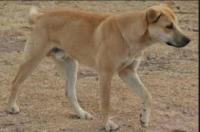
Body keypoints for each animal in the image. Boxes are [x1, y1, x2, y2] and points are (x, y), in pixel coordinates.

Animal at [7, 3, 191, 131]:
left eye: (177, 24)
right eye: (168, 26)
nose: (189, 40)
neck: (129, 34)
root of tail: (41, 16)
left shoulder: (128, 72)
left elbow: (147, 95)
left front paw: (144, 118)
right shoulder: (106, 74)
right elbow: (106, 103)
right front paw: (107, 124)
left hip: (72, 65)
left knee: (70, 93)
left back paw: (81, 114)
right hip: (33, 59)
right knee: (15, 82)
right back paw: (11, 107)